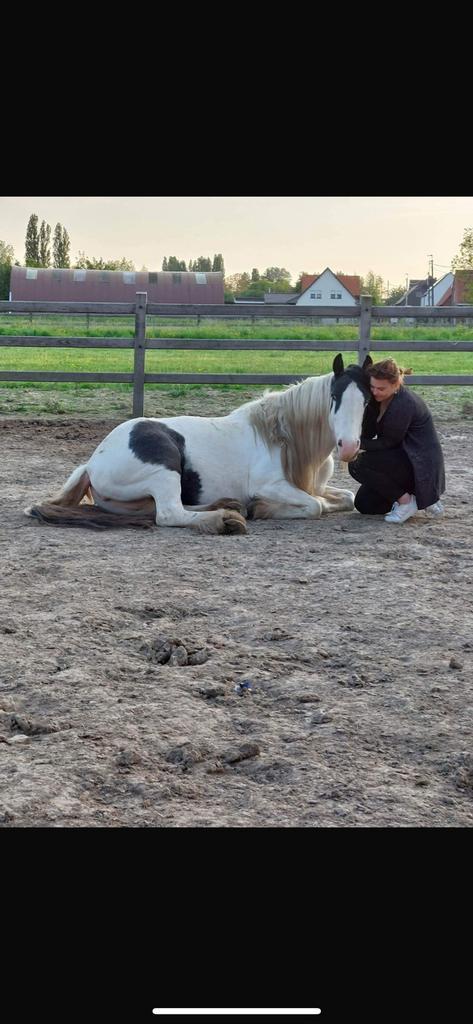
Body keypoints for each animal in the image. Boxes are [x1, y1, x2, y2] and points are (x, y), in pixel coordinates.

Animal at [25, 354, 373, 536]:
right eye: (334, 397)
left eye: (367, 400)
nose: (348, 447)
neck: (280, 436)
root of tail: (93, 462)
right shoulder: (271, 485)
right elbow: (315, 506)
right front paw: (263, 508)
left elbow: (346, 498)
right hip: (164, 471)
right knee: (168, 514)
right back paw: (224, 519)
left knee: (168, 509)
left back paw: (228, 508)